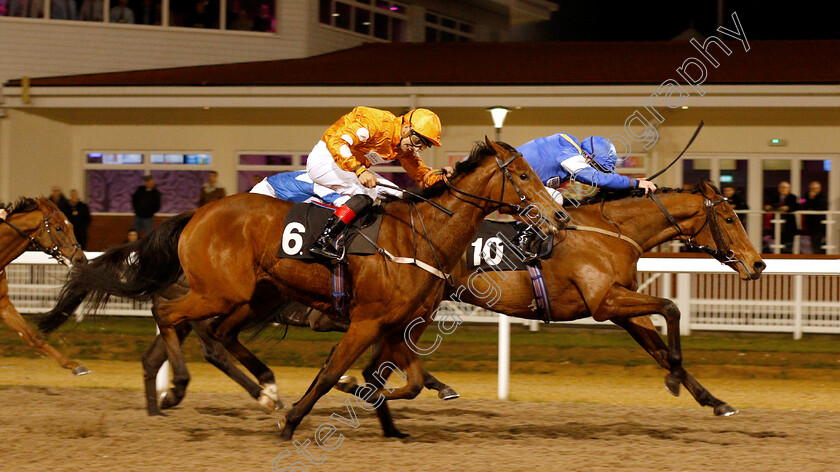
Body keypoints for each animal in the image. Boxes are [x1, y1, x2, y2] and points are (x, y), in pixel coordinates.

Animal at [0, 197, 89, 374]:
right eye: (58, 228)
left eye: (71, 226)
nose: (81, 259)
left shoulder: (3, 303)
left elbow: (33, 336)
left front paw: (73, 365)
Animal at [44, 138, 556, 440]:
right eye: (523, 175)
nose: (555, 214)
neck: (418, 234)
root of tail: (198, 213)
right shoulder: (366, 321)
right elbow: (333, 374)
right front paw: (293, 420)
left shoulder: (400, 325)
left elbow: (404, 382)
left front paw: (376, 404)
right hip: (222, 292)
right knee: (171, 316)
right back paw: (184, 390)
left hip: (253, 296)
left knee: (211, 335)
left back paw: (241, 391)